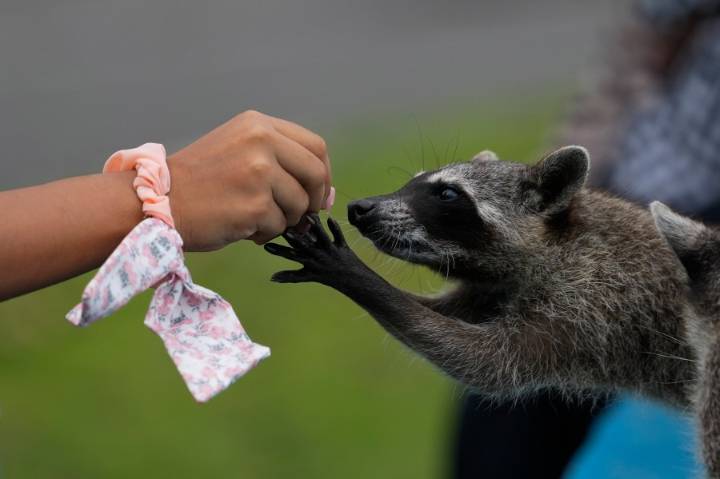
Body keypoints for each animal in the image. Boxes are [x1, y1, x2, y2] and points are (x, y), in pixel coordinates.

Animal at [265, 146, 696, 407]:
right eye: (414, 181)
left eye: (447, 194)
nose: (359, 208)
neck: (559, 241)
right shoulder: (496, 286)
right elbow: (447, 316)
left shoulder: (596, 298)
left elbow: (486, 363)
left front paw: (356, 276)